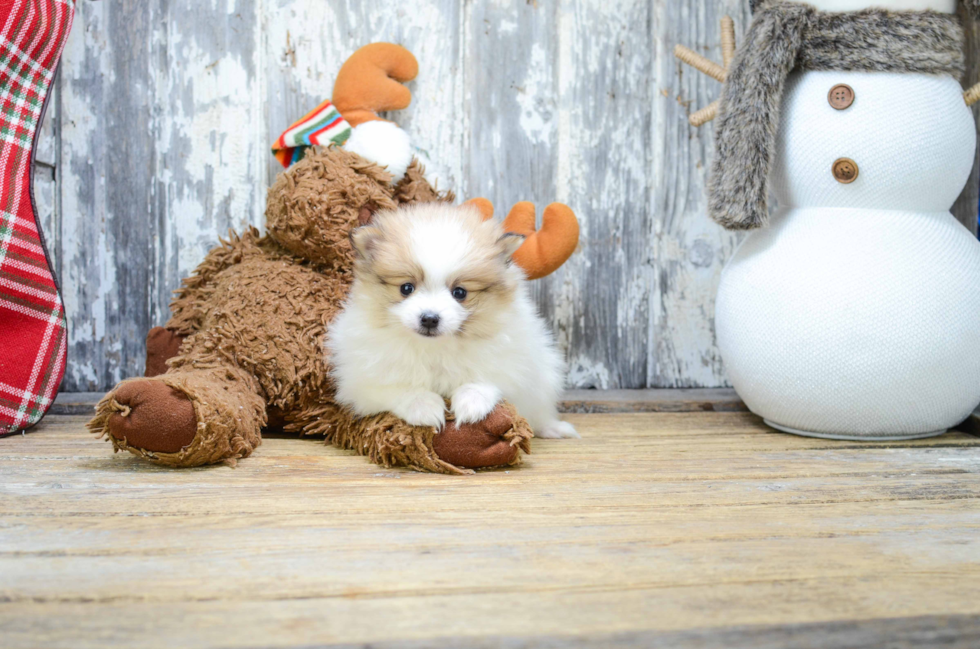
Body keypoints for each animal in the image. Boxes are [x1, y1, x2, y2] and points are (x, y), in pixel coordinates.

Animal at [328, 200, 576, 438]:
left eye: (460, 292)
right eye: (406, 288)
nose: (429, 318)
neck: (434, 348)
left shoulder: (513, 362)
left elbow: (487, 379)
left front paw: (471, 403)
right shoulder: (363, 380)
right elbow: (399, 388)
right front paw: (423, 406)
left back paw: (554, 429)